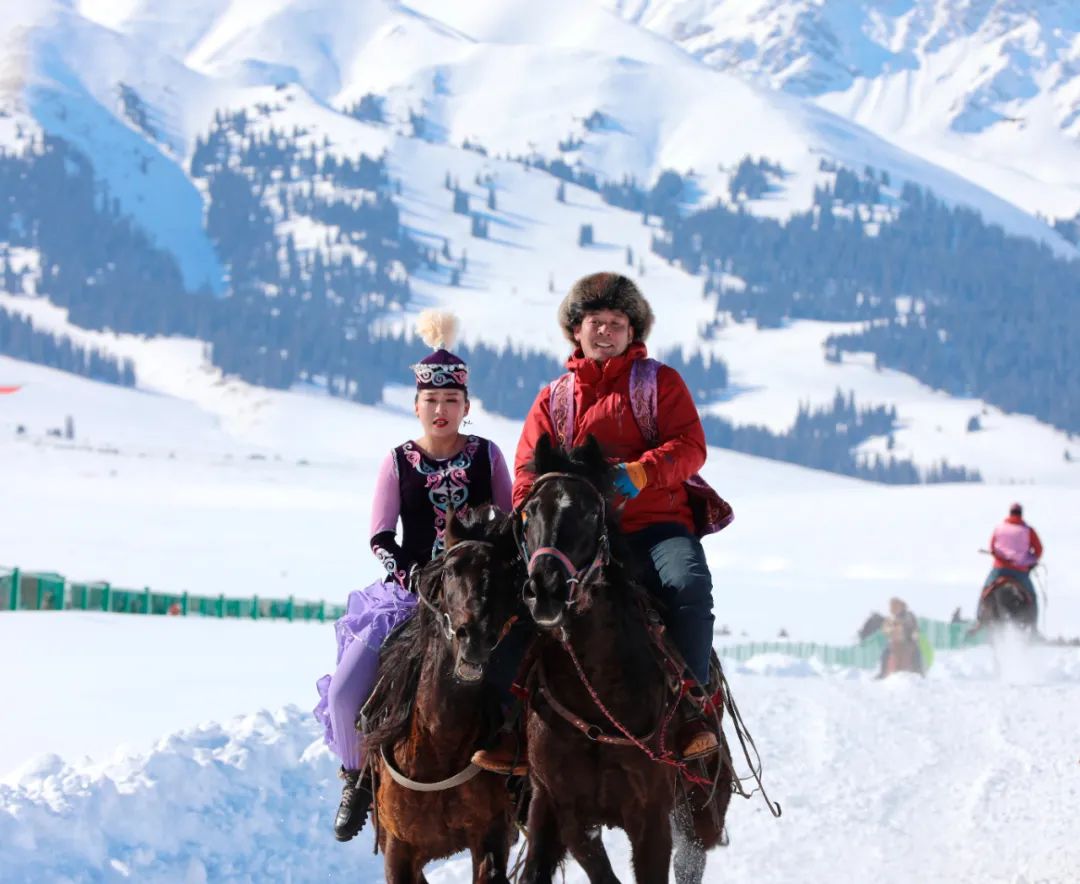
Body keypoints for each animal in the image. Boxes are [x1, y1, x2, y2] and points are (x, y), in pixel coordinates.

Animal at [362, 507, 527, 884]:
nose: (474, 638)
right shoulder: (398, 850)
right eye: (452, 569)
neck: (439, 745)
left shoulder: (491, 836)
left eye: (507, 574)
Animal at [518, 436, 730, 884]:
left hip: (701, 808)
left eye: (590, 511)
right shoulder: (566, 810)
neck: (596, 698)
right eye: (530, 511)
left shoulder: (651, 817)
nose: (545, 590)